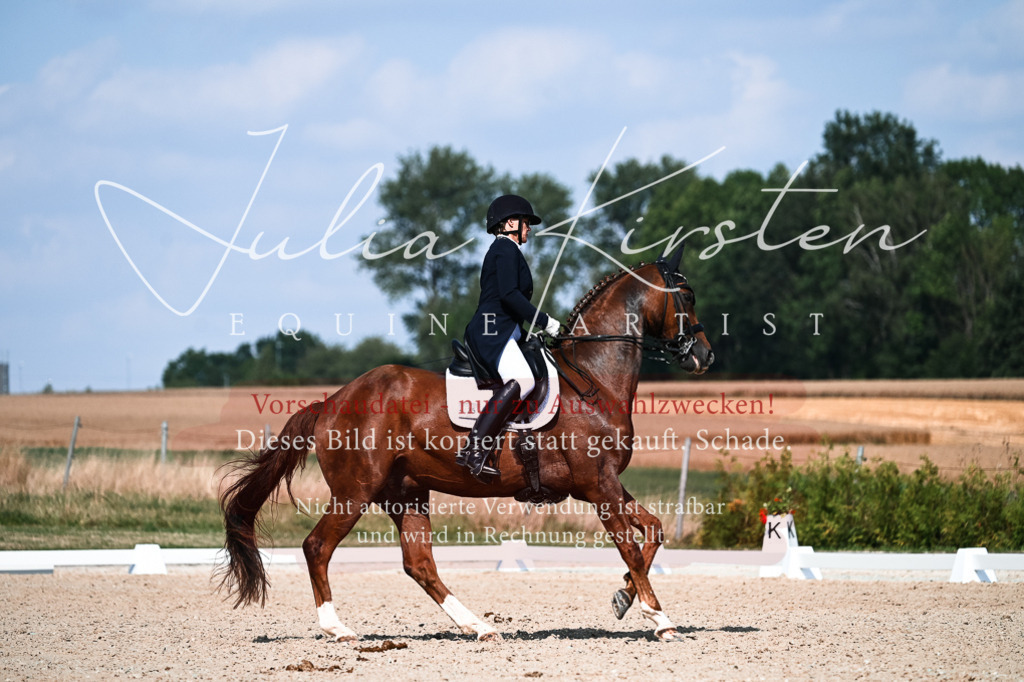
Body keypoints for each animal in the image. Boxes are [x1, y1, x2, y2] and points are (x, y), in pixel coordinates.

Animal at [217, 242, 714, 642]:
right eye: (688, 296)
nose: (704, 356)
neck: (593, 377)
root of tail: (332, 401)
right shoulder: (598, 485)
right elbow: (630, 546)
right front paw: (659, 618)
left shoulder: (603, 483)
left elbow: (653, 531)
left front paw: (624, 599)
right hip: (355, 491)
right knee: (318, 547)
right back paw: (338, 629)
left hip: (406, 493)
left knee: (419, 563)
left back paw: (479, 626)